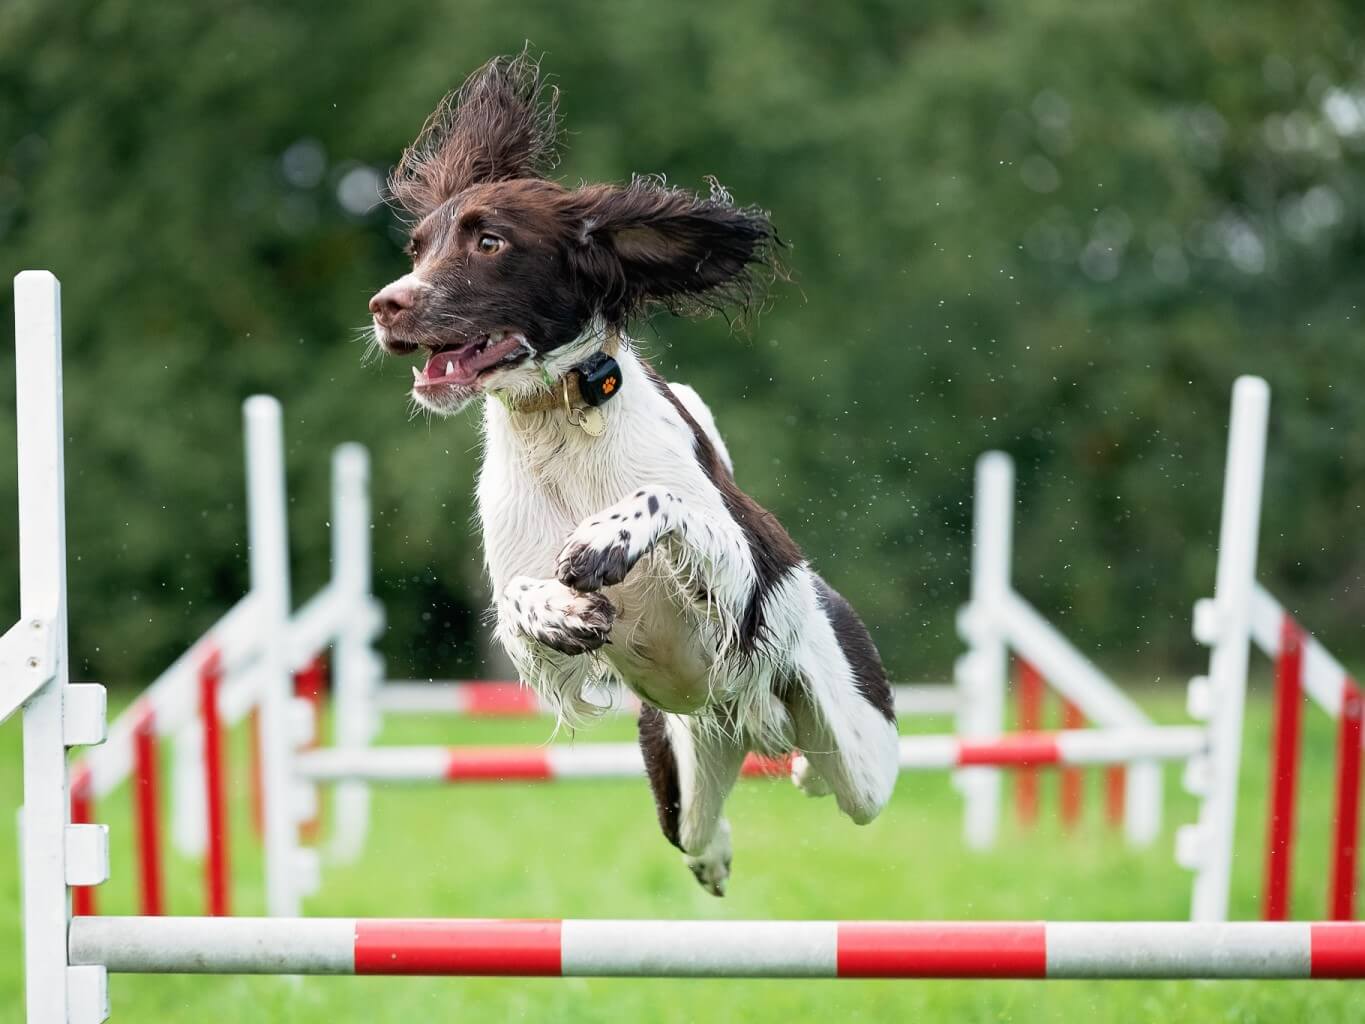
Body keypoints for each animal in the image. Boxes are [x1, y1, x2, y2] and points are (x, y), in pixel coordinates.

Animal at [368, 54, 900, 895]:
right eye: (418, 247)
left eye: (488, 241)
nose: (386, 305)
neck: (561, 422)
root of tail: (753, 721)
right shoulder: (528, 631)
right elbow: (517, 603)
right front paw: (562, 611)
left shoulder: (746, 568)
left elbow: (668, 499)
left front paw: (603, 540)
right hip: (681, 760)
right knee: (698, 828)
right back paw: (715, 853)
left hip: (859, 752)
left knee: (839, 782)